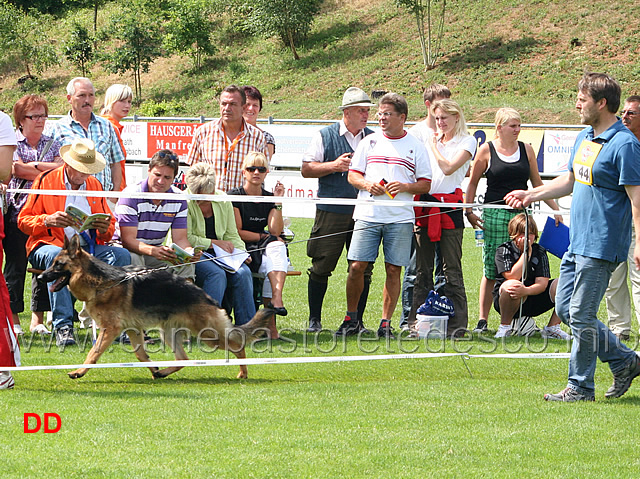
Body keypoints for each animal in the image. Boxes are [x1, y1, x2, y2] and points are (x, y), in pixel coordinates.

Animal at [38, 234, 272, 380]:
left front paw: (78, 372)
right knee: (184, 359)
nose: (40, 277)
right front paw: (153, 369)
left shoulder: (110, 329)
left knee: (238, 345)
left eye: (58, 265)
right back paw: (164, 372)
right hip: (168, 333)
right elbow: (141, 356)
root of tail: (206, 296)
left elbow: (93, 353)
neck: (100, 282)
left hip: (207, 334)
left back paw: (243, 373)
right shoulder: (132, 329)